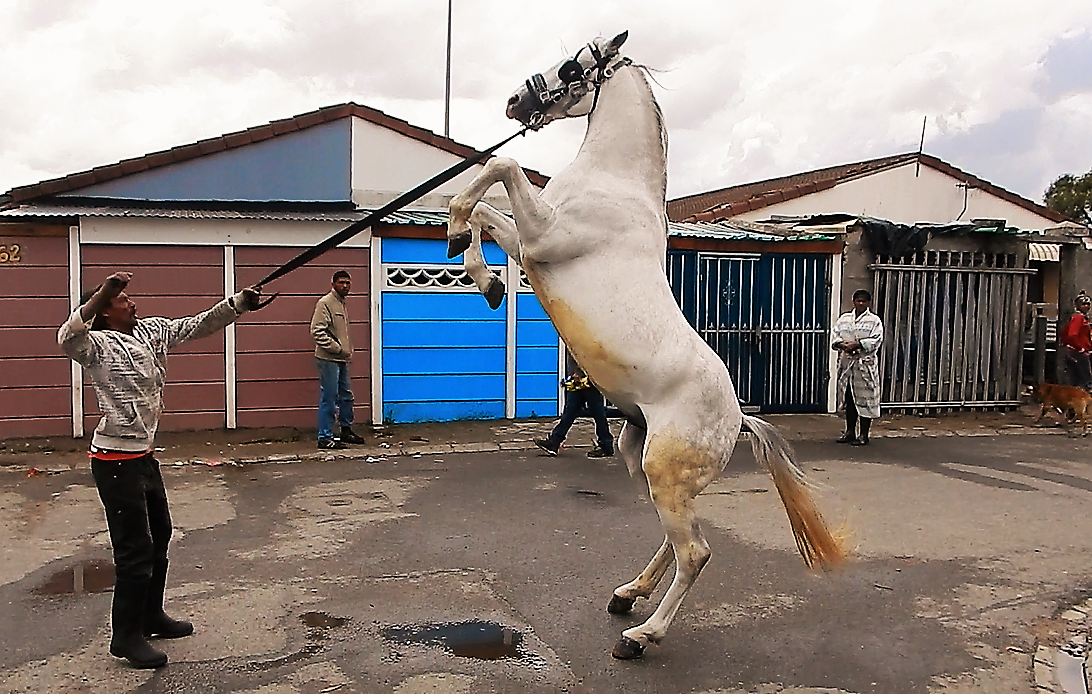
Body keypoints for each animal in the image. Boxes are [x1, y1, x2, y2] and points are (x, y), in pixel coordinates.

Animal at [443, 31, 843, 663]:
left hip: (664, 470)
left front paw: (464, 238)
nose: (514, 102)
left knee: (696, 552)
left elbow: (498, 170)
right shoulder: (532, 243)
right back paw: (627, 594)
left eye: (572, 66)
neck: (614, 183)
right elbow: (487, 208)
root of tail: (737, 419)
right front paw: (483, 277)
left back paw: (640, 635)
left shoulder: (545, 235)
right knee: (679, 539)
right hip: (644, 459)